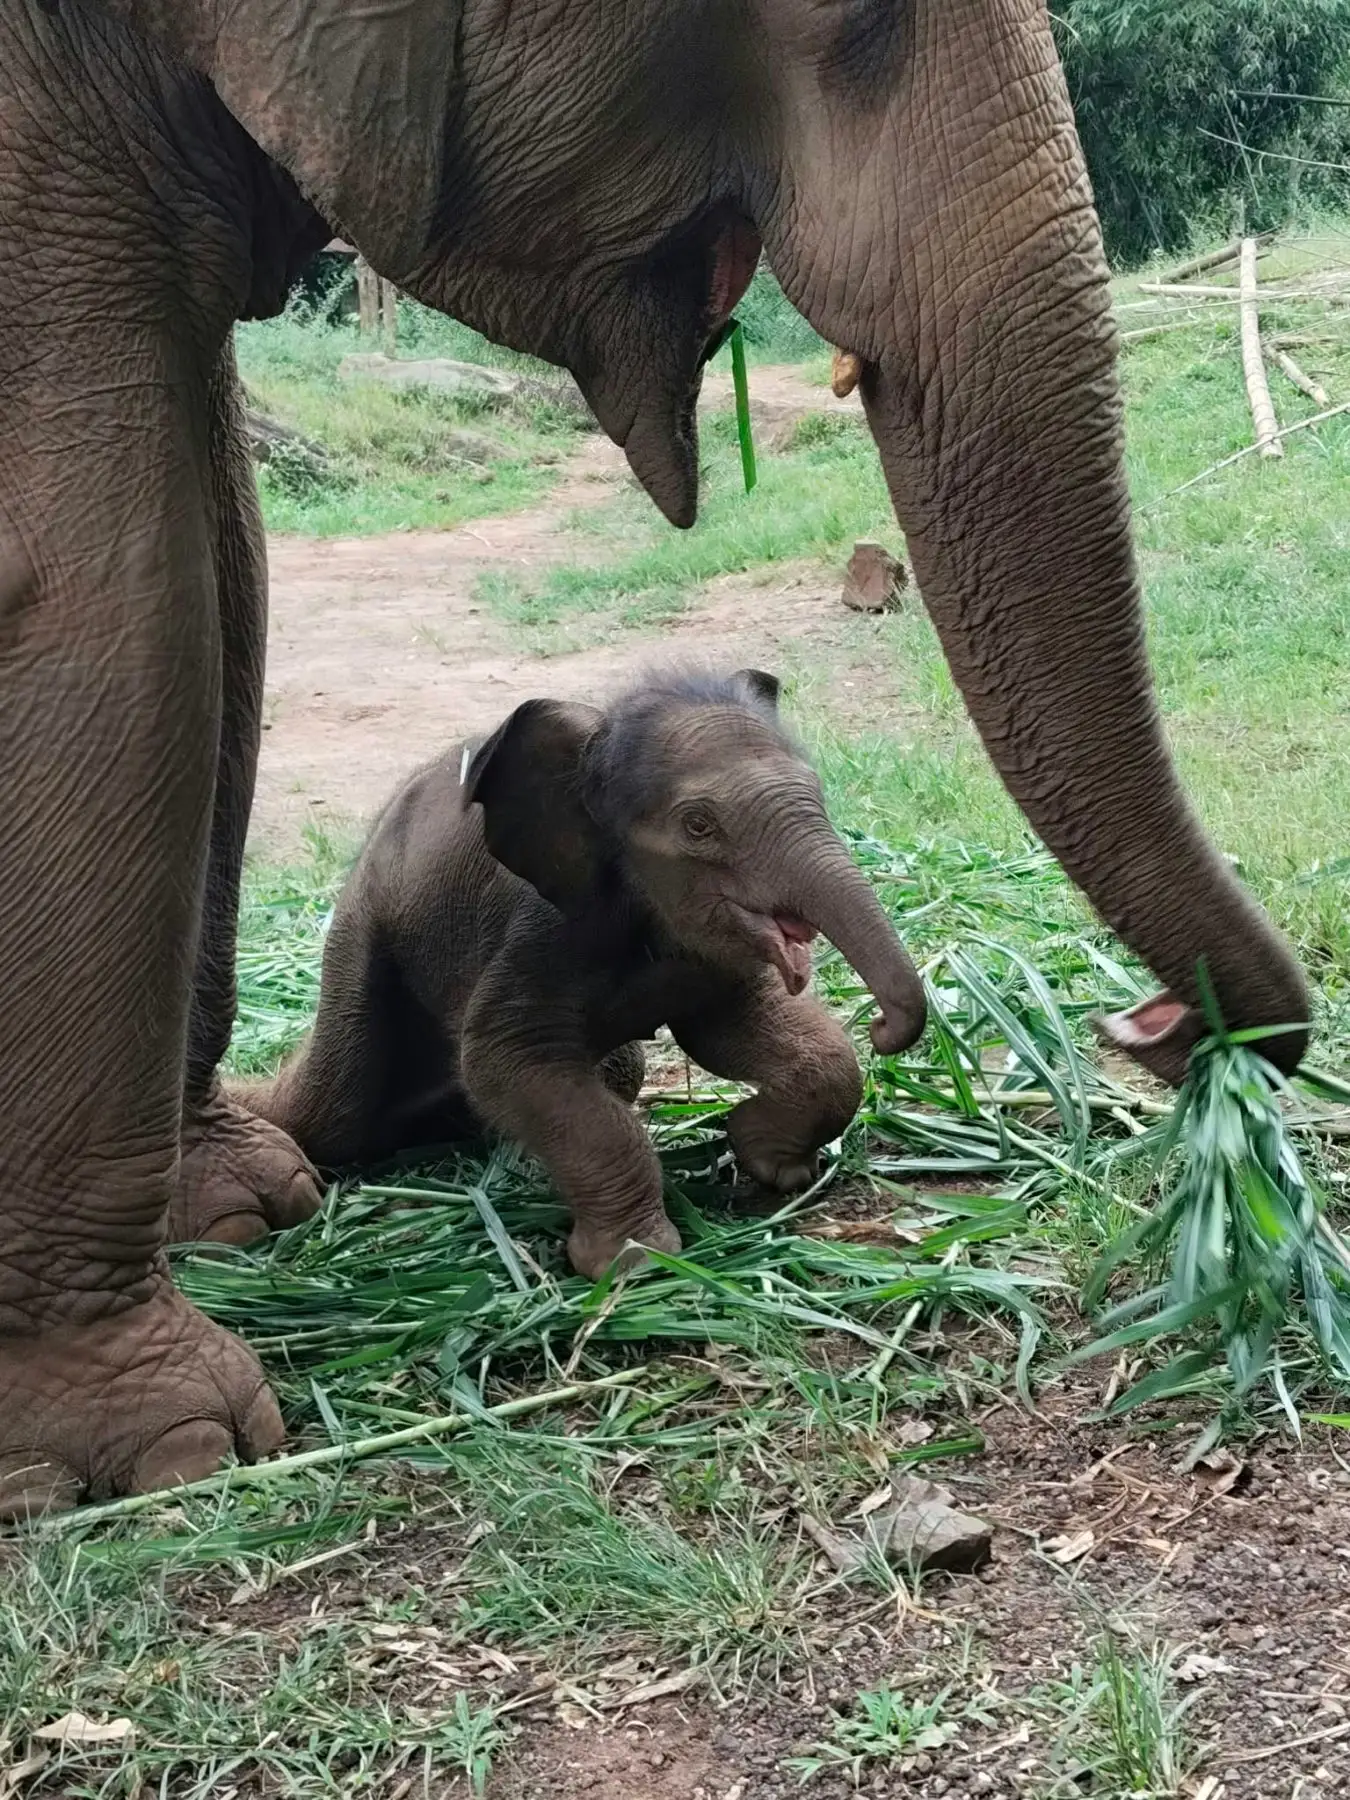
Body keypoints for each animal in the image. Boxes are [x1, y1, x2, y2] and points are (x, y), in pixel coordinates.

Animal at [240, 670, 928, 1278]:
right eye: (699, 825)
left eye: (818, 790)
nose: (881, 1027)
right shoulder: (537, 930)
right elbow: (504, 1062)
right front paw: (633, 1264)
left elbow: (745, 1032)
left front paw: (770, 1165)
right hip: (360, 948)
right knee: (334, 1113)